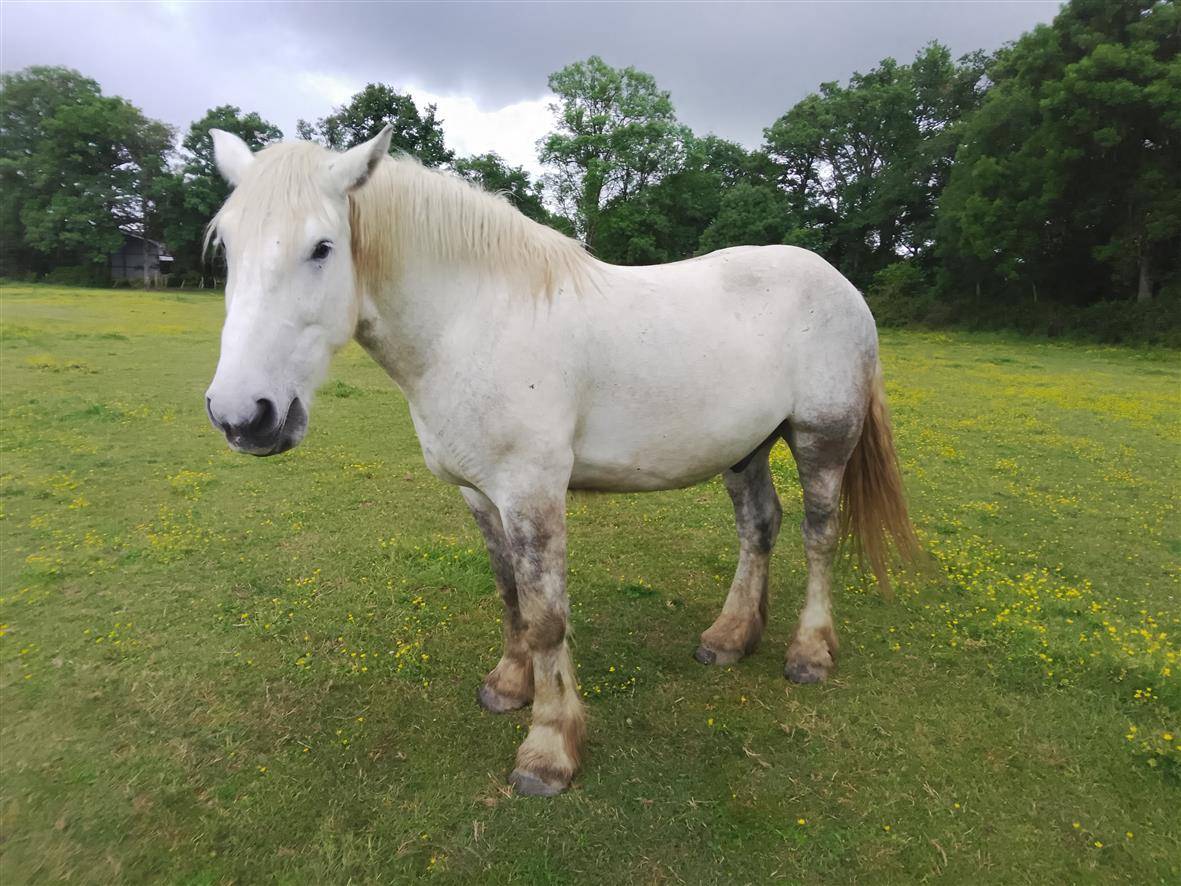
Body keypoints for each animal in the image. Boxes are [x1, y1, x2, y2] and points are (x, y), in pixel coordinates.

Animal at [203, 124, 919, 796]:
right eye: (228, 246)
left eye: (322, 248)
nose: (243, 416)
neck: (473, 321)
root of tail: (841, 285)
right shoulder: (482, 496)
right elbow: (510, 595)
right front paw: (508, 686)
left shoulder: (533, 492)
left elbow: (547, 617)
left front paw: (548, 750)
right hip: (746, 449)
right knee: (759, 527)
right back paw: (730, 638)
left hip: (821, 438)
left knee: (819, 535)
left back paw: (810, 652)